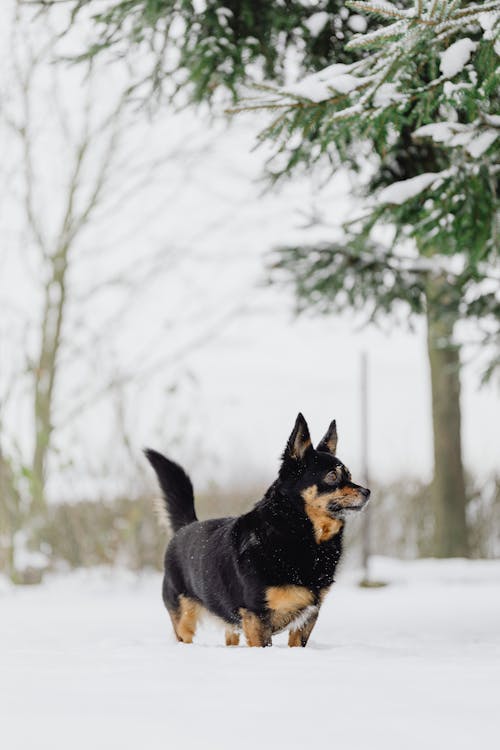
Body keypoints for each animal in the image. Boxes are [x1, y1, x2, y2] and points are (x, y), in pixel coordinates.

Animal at [145, 414, 368, 648]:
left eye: (349, 475)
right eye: (332, 476)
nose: (367, 492)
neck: (296, 532)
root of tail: (185, 526)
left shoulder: (306, 619)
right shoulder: (257, 616)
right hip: (184, 619)